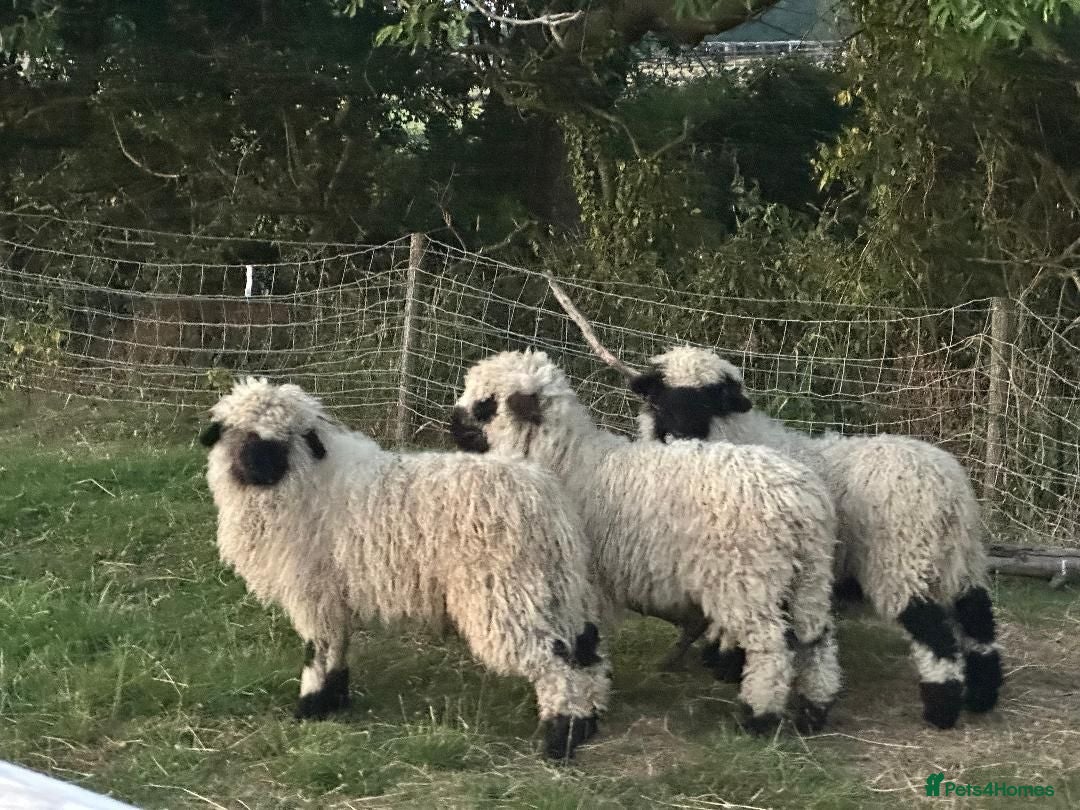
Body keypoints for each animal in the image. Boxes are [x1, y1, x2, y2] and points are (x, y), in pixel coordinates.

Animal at [200, 377, 610, 760]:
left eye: (284, 438)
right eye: (239, 433)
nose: (258, 469)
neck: (307, 481)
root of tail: (545, 499)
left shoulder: (314, 592)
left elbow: (317, 652)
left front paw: (310, 707)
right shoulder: (334, 594)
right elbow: (336, 650)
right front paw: (335, 700)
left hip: (504, 593)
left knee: (555, 662)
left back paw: (560, 737)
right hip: (554, 587)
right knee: (584, 648)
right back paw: (585, 724)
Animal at [450, 350, 843, 735]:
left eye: (485, 404)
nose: (452, 424)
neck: (567, 462)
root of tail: (801, 501)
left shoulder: (583, 580)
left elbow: (584, 638)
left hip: (748, 579)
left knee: (771, 645)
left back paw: (759, 718)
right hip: (811, 574)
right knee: (816, 638)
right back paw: (814, 709)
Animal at [630, 346, 1003, 730]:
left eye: (709, 399)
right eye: (660, 396)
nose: (676, 433)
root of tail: (948, 489)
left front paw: (731, 668)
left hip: (902, 560)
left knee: (935, 633)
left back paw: (941, 710)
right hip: (961, 559)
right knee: (977, 618)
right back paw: (981, 697)